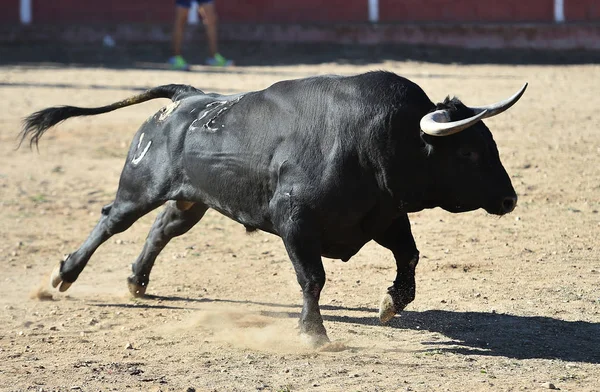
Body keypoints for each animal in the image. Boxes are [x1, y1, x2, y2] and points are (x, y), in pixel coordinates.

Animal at [19, 72, 524, 344]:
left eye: (490, 144)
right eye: (468, 152)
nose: (509, 199)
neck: (374, 139)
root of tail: (187, 96)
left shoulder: (385, 218)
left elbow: (410, 257)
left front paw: (389, 304)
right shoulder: (295, 223)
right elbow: (313, 277)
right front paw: (313, 334)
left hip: (191, 199)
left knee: (162, 229)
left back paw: (135, 281)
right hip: (139, 188)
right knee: (111, 221)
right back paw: (62, 276)